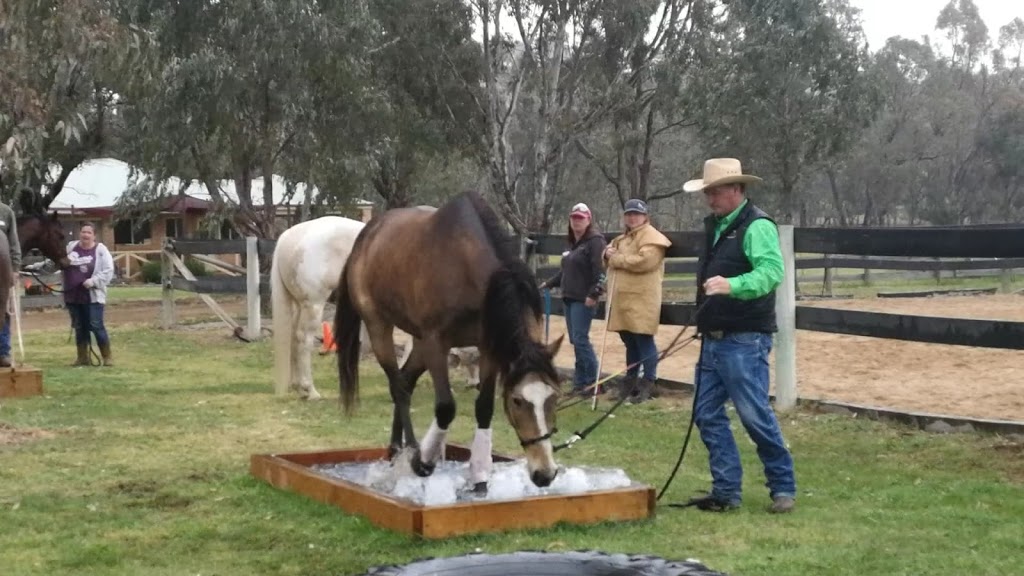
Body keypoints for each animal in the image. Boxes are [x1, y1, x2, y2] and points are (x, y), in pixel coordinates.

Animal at [270, 213, 370, 397]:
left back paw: (298, 386)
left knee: (294, 337)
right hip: (314, 305)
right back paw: (309, 390)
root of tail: (288, 237)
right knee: (304, 339)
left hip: (300, 306)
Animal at [333, 190, 565, 485]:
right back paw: (410, 451)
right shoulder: (436, 343)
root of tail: (364, 238)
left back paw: (396, 451)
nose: (544, 473)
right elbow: (445, 407)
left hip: (419, 343)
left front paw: (479, 474)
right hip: (380, 328)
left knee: (405, 381)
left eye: (554, 397)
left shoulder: (489, 347)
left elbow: (484, 407)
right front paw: (424, 460)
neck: (465, 263)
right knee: (398, 387)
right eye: (517, 400)